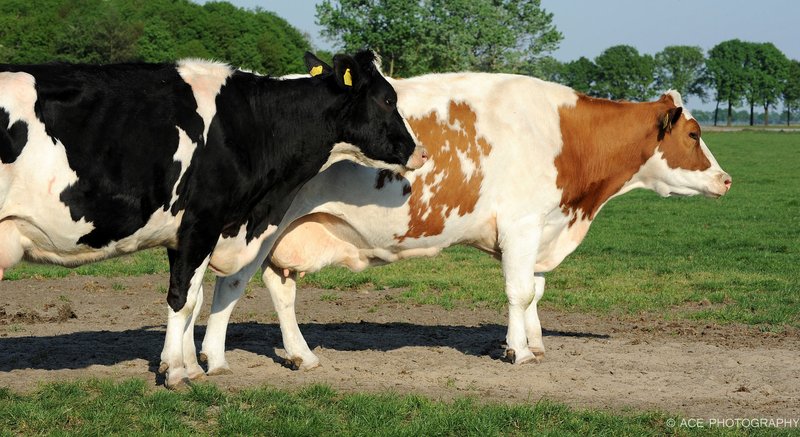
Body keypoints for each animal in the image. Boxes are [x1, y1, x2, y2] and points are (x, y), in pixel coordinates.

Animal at [0, 51, 425, 388]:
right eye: (388, 99)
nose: (419, 151)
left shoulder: (187, 231)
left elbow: (196, 295)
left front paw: (188, 365)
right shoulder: (202, 220)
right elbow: (183, 298)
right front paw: (176, 373)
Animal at [195, 70, 732, 375]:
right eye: (693, 133)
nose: (727, 180)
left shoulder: (539, 228)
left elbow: (535, 291)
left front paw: (537, 343)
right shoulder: (521, 224)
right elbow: (519, 291)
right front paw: (518, 352)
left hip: (288, 232)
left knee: (280, 289)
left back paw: (300, 355)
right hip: (255, 226)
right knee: (231, 285)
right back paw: (214, 361)